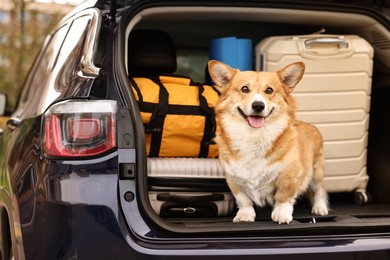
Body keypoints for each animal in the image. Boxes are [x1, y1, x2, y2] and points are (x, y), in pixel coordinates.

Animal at [209, 60, 328, 223]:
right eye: (244, 89)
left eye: (269, 90)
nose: (258, 106)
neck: (254, 137)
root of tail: (310, 125)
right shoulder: (233, 179)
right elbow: (243, 200)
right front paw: (245, 215)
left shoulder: (289, 176)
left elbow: (283, 197)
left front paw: (281, 215)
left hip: (316, 173)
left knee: (319, 191)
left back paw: (320, 208)